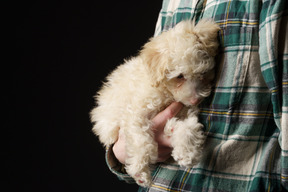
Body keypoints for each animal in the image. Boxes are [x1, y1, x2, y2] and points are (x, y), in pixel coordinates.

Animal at [91, 18, 219, 187]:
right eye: (179, 76)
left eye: (203, 73)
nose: (195, 99)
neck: (167, 93)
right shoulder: (135, 113)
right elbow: (141, 139)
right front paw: (140, 172)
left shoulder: (186, 111)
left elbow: (189, 127)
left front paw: (186, 153)